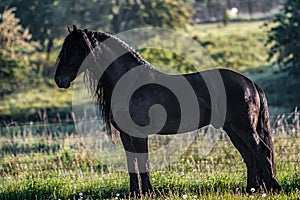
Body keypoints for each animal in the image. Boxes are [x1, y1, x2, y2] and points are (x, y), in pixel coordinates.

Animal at [54, 25, 282, 195]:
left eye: (74, 50)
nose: (59, 80)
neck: (131, 82)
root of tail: (250, 83)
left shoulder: (139, 134)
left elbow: (143, 160)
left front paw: (148, 192)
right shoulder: (127, 135)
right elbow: (132, 162)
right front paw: (135, 192)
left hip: (244, 128)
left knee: (261, 150)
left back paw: (273, 187)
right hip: (233, 130)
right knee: (249, 155)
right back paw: (252, 189)